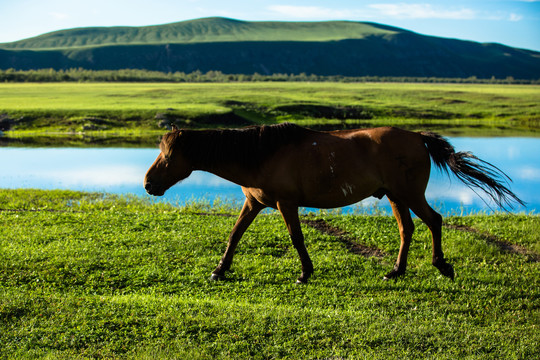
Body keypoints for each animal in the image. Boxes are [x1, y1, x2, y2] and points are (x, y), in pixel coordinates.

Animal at [143, 124, 524, 284]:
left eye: (168, 157)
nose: (148, 184)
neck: (261, 154)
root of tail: (418, 137)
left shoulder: (286, 203)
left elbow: (296, 239)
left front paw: (305, 273)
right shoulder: (254, 203)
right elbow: (234, 236)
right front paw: (219, 271)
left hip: (410, 194)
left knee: (434, 221)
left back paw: (442, 266)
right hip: (396, 197)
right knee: (408, 229)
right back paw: (395, 272)